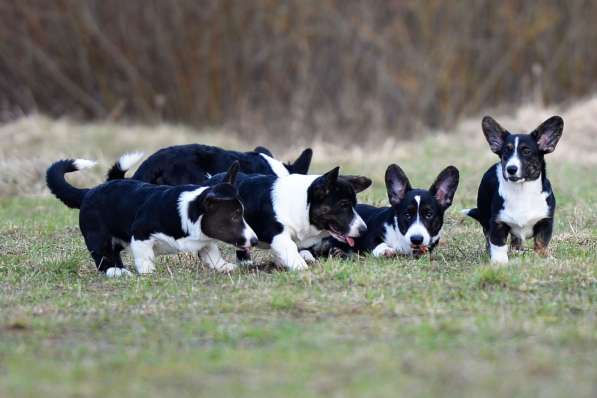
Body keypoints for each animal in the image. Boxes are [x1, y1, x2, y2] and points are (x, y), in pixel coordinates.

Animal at [44, 159, 254, 276]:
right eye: (235, 216)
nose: (254, 240)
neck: (189, 212)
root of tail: (88, 192)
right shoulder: (140, 234)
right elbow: (145, 257)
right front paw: (148, 272)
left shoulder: (204, 242)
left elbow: (212, 254)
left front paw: (226, 267)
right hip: (98, 237)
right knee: (103, 259)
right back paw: (116, 272)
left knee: (114, 254)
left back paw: (121, 269)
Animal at [207, 166, 370, 272]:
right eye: (343, 205)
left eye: (354, 204)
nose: (364, 230)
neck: (304, 203)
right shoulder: (279, 235)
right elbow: (290, 247)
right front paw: (300, 266)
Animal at [310, 165, 458, 258]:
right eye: (407, 215)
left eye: (429, 214)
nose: (416, 239)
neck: (401, 238)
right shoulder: (368, 232)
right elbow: (374, 242)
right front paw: (386, 250)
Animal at [460, 116, 564, 264]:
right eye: (505, 152)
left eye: (526, 151)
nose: (511, 169)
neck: (522, 190)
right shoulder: (497, 223)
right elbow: (498, 244)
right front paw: (499, 262)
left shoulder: (545, 221)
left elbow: (541, 242)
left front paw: (545, 257)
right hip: (485, 215)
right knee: (488, 237)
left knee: (516, 241)